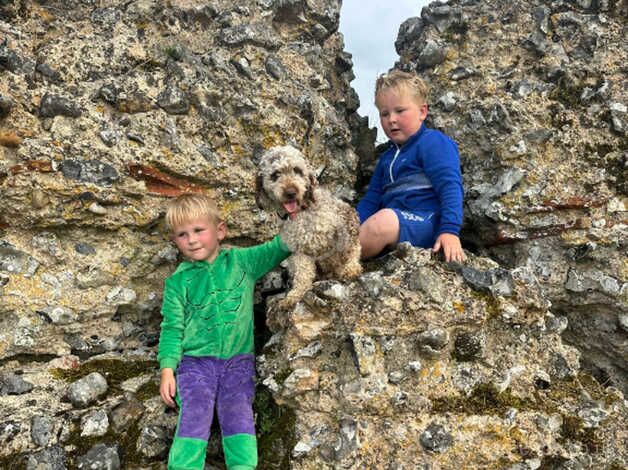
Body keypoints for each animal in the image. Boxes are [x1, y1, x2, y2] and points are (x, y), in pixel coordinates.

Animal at [256, 145, 364, 310]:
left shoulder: (342, 222)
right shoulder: (300, 250)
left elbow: (350, 250)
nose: (291, 192)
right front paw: (294, 295)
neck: (300, 212)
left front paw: (351, 267)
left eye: (297, 170)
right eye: (275, 175)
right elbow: (302, 274)